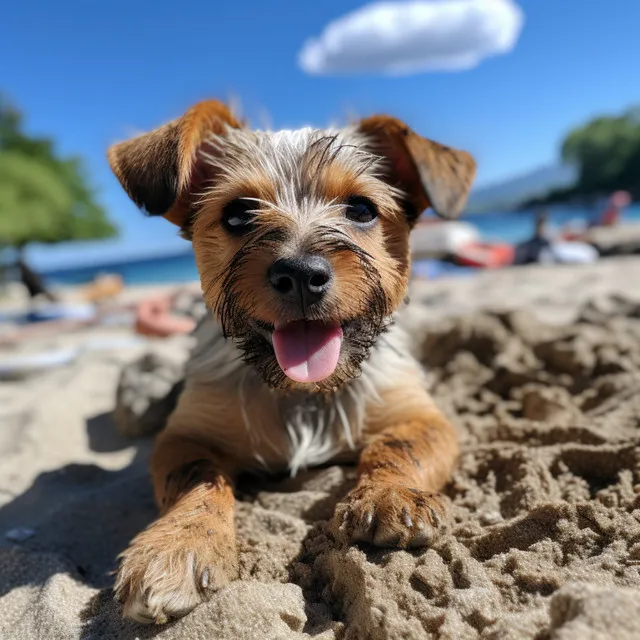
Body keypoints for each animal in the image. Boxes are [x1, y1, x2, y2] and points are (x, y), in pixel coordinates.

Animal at [106, 101, 476, 624]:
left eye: (361, 210)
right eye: (238, 213)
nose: (300, 273)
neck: (302, 391)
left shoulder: (420, 415)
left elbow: (398, 447)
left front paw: (390, 494)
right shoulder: (185, 437)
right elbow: (196, 479)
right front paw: (178, 546)